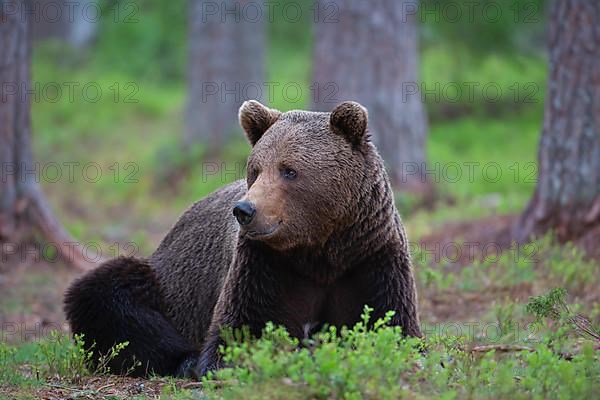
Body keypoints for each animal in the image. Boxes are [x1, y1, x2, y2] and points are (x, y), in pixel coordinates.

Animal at [63, 100, 422, 378]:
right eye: (256, 168)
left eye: (289, 170)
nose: (245, 210)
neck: (320, 250)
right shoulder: (264, 265)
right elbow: (241, 329)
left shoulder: (370, 258)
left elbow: (391, 325)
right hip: (168, 284)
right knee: (106, 292)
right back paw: (184, 359)